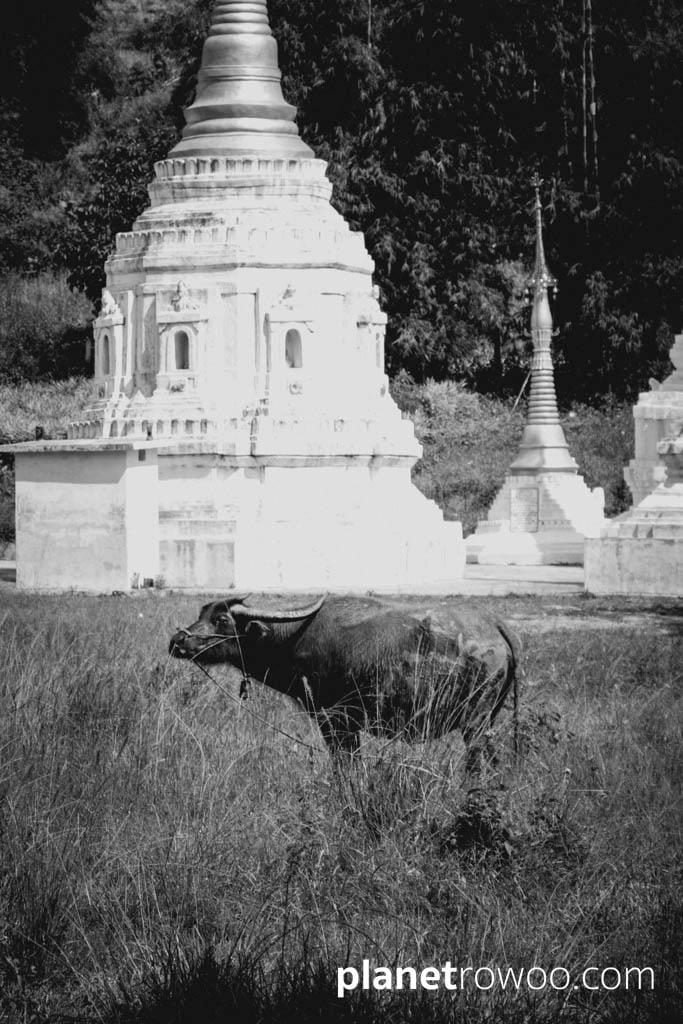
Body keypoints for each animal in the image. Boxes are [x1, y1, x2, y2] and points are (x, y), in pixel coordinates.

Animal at [169, 595, 521, 766]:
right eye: (201, 613)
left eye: (222, 620)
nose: (177, 640)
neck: (293, 639)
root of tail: (494, 625)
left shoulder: (338, 722)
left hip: (475, 721)